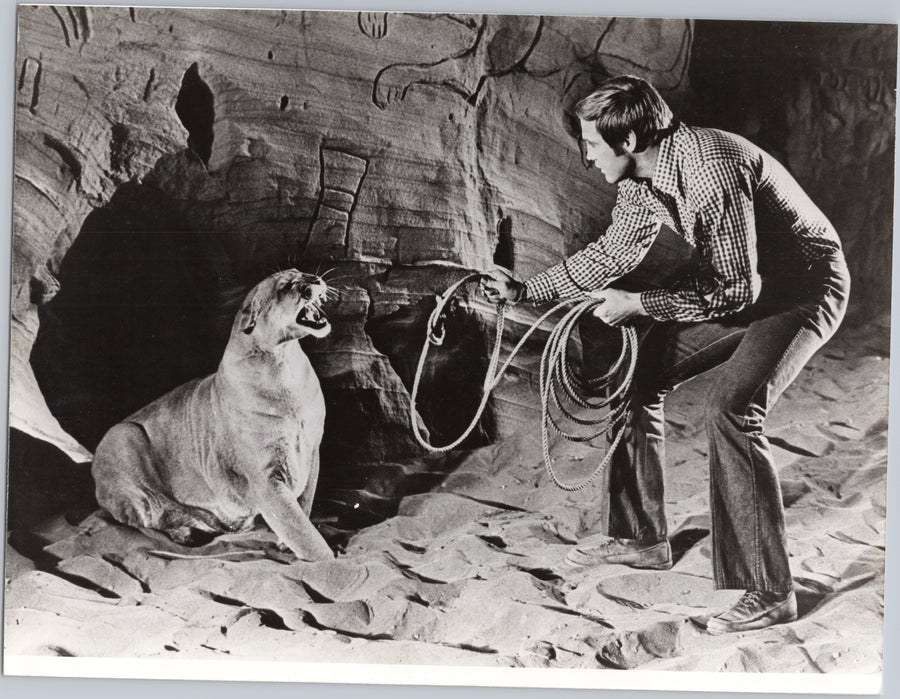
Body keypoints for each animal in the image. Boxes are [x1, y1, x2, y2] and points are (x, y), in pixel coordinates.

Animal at [91, 269, 335, 561]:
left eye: (300, 272)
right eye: (286, 285)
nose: (315, 280)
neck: (285, 361)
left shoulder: (312, 450)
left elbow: (304, 505)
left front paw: (288, 544)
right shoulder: (265, 478)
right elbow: (301, 529)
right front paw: (329, 562)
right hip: (123, 434)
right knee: (146, 520)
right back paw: (190, 532)